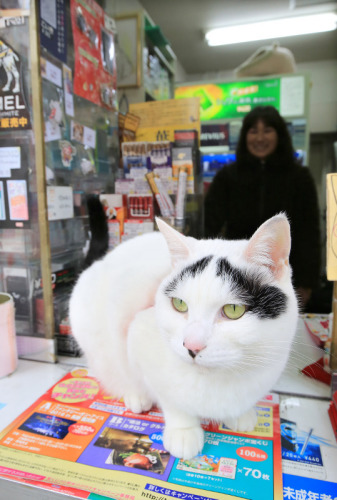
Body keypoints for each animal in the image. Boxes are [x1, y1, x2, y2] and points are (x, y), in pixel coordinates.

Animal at [68, 213, 296, 458]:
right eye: (179, 304)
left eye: (233, 310)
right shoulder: (139, 337)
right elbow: (170, 398)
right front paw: (183, 431)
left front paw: (241, 415)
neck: (219, 379)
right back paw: (136, 395)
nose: (192, 345)